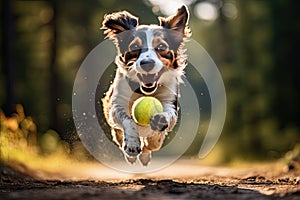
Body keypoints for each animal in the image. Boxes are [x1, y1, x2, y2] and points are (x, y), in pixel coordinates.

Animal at [101, 5, 190, 166]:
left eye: (161, 47)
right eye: (135, 46)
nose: (147, 63)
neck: (144, 92)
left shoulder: (170, 101)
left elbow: (167, 116)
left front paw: (160, 120)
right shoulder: (116, 103)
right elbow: (128, 119)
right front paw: (131, 145)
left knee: (152, 144)